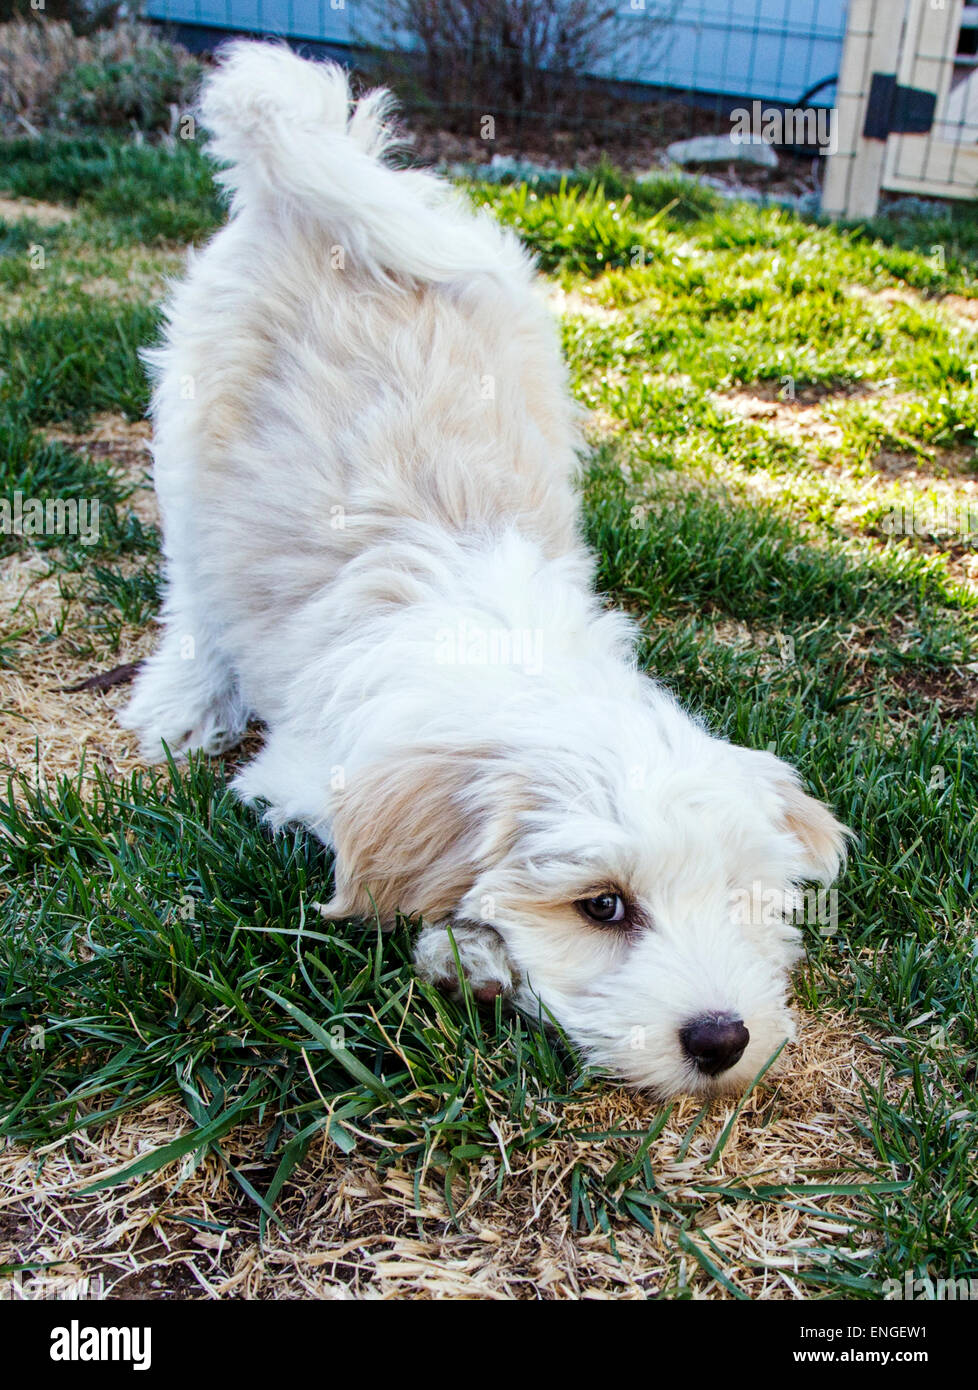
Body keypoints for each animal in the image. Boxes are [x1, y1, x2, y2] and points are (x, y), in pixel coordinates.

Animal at [122, 40, 850, 1095]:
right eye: (603, 907)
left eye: (739, 898)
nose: (721, 1040)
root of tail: (319, 176)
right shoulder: (312, 781)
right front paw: (471, 958)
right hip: (187, 433)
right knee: (193, 584)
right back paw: (185, 699)